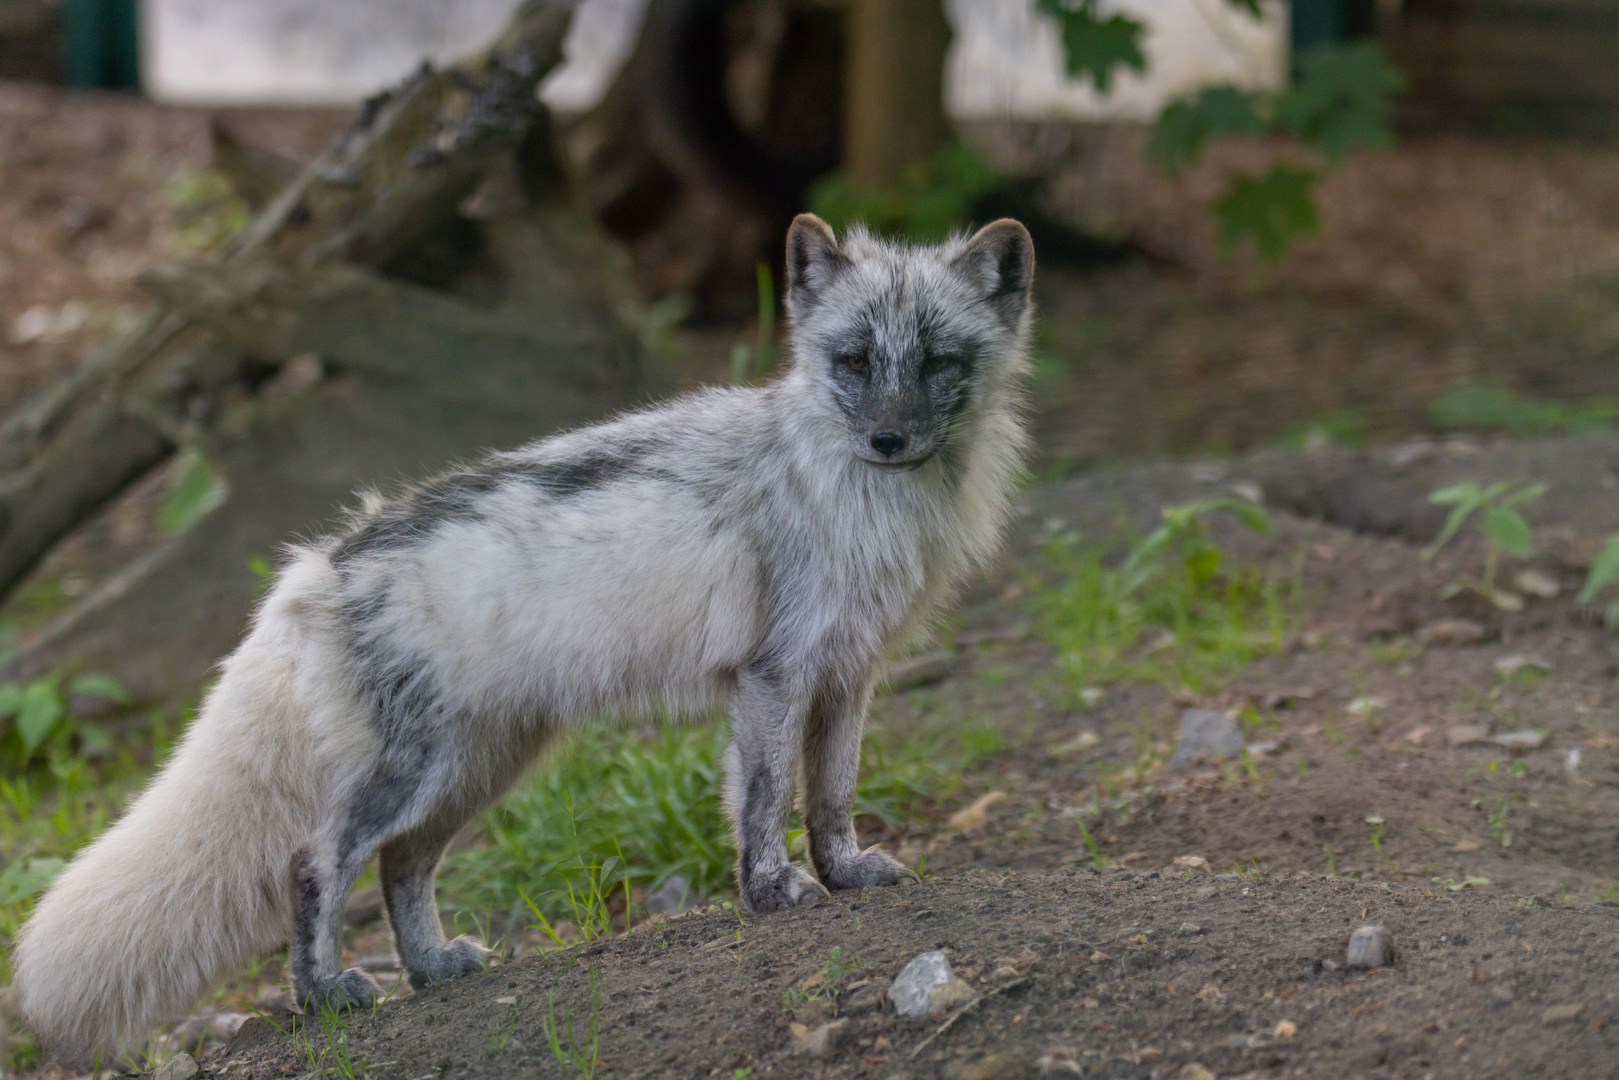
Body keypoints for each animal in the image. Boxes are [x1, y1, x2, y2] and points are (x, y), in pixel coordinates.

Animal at [12, 215, 1029, 1062]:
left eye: (936, 360)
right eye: (852, 361)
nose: (889, 440)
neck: (860, 496)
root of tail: (323, 563)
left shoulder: (849, 676)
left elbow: (832, 799)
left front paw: (844, 874)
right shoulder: (774, 678)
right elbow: (766, 799)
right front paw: (772, 892)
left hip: (477, 771)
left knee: (400, 866)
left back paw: (428, 970)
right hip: (415, 772)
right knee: (314, 860)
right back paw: (326, 994)